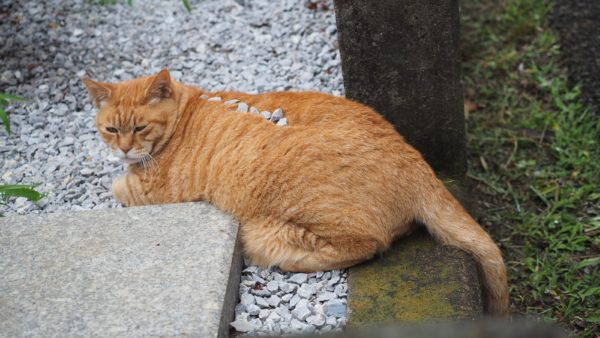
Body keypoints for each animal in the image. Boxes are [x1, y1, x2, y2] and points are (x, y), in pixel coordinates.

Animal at [82, 70, 508, 316]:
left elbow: (117, 184)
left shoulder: (148, 189)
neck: (188, 111)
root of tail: (415, 161)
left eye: (138, 128)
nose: (123, 150)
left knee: (369, 243)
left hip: (281, 213)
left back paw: (286, 256)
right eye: (110, 129)